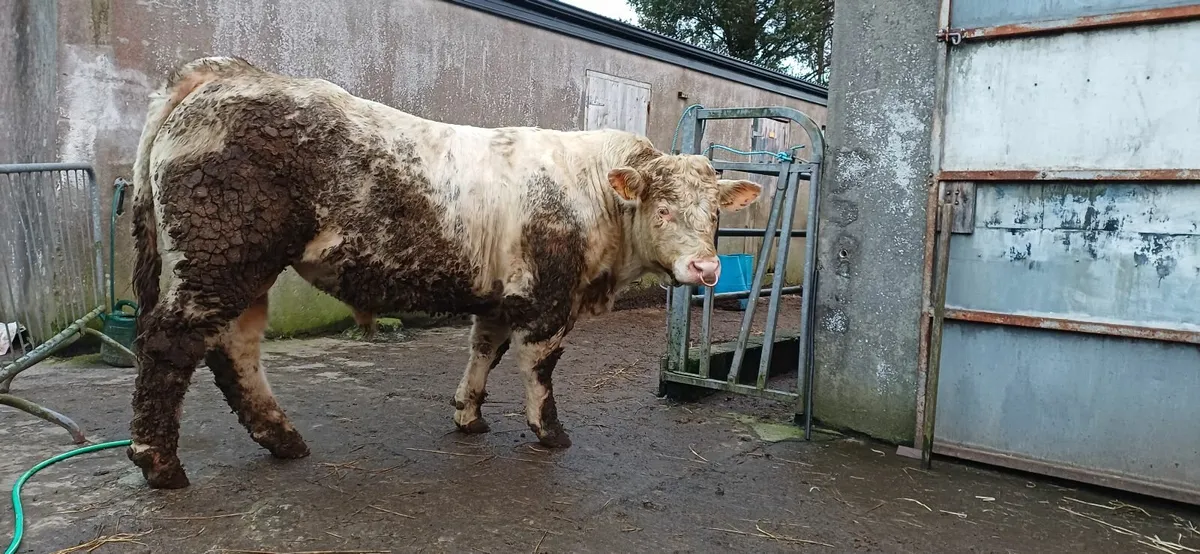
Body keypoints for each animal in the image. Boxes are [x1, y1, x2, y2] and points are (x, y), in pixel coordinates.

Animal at [127, 56, 761, 489]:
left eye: (715, 215)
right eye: (663, 209)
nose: (706, 267)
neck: (597, 197)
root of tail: (229, 75)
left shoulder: (502, 297)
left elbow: (484, 351)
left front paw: (469, 415)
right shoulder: (550, 298)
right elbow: (539, 367)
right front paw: (549, 432)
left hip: (240, 267)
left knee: (235, 348)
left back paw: (282, 440)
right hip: (221, 255)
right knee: (171, 343)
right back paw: (159, 462)